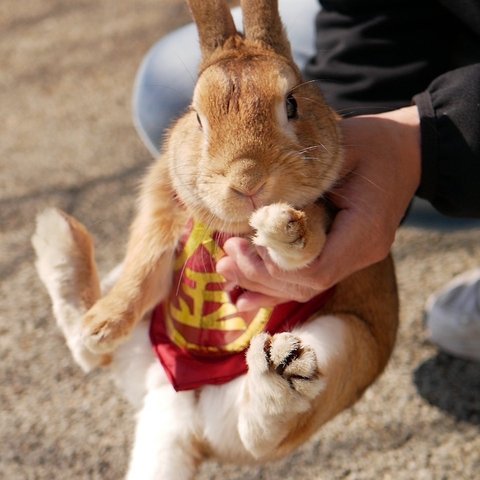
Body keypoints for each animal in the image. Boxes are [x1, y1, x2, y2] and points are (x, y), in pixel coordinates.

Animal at [31, 1, 398, 478]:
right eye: (197, 116)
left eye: (292, 104)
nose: (247, 180)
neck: (233, 227)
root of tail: (176, 412)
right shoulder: (161, 210)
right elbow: (143, 267)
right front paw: (104, 323)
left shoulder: (323, 220)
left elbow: (304, 246)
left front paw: (280, 225)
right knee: (87, 350)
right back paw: (57, 240)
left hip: (343, 343)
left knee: (261, 431)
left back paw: (282, 363)